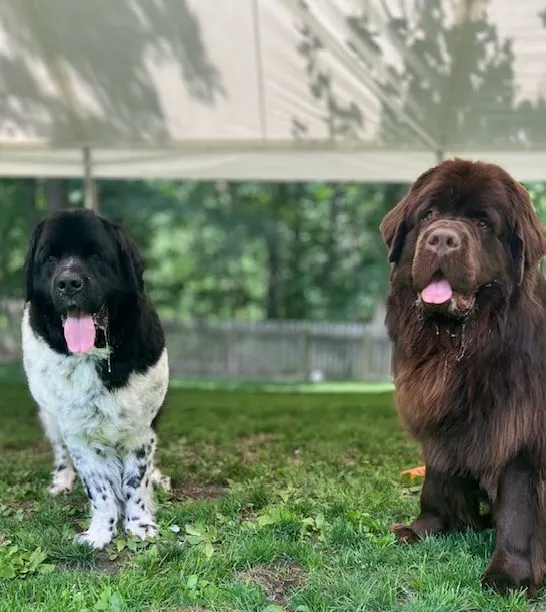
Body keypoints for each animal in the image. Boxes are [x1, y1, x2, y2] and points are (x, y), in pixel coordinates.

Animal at [22, 209, 169, 548]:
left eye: (95, 256)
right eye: (50, 258)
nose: (68, 283)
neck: (92, 353)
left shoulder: (140, 430)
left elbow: (135, 481)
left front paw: (140, 526)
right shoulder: (78, 434)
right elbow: (98, 488)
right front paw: (100, 532)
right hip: (49, 416)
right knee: (61, 452)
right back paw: (61, 481)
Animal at [380, 159, 546, 596]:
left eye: (484, 223)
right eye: (428, 215)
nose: (442, 239)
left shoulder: (520, 427)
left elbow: (519, 504)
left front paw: (509, 574)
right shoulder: (442, 411)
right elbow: (437, 475)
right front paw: (426, 527)